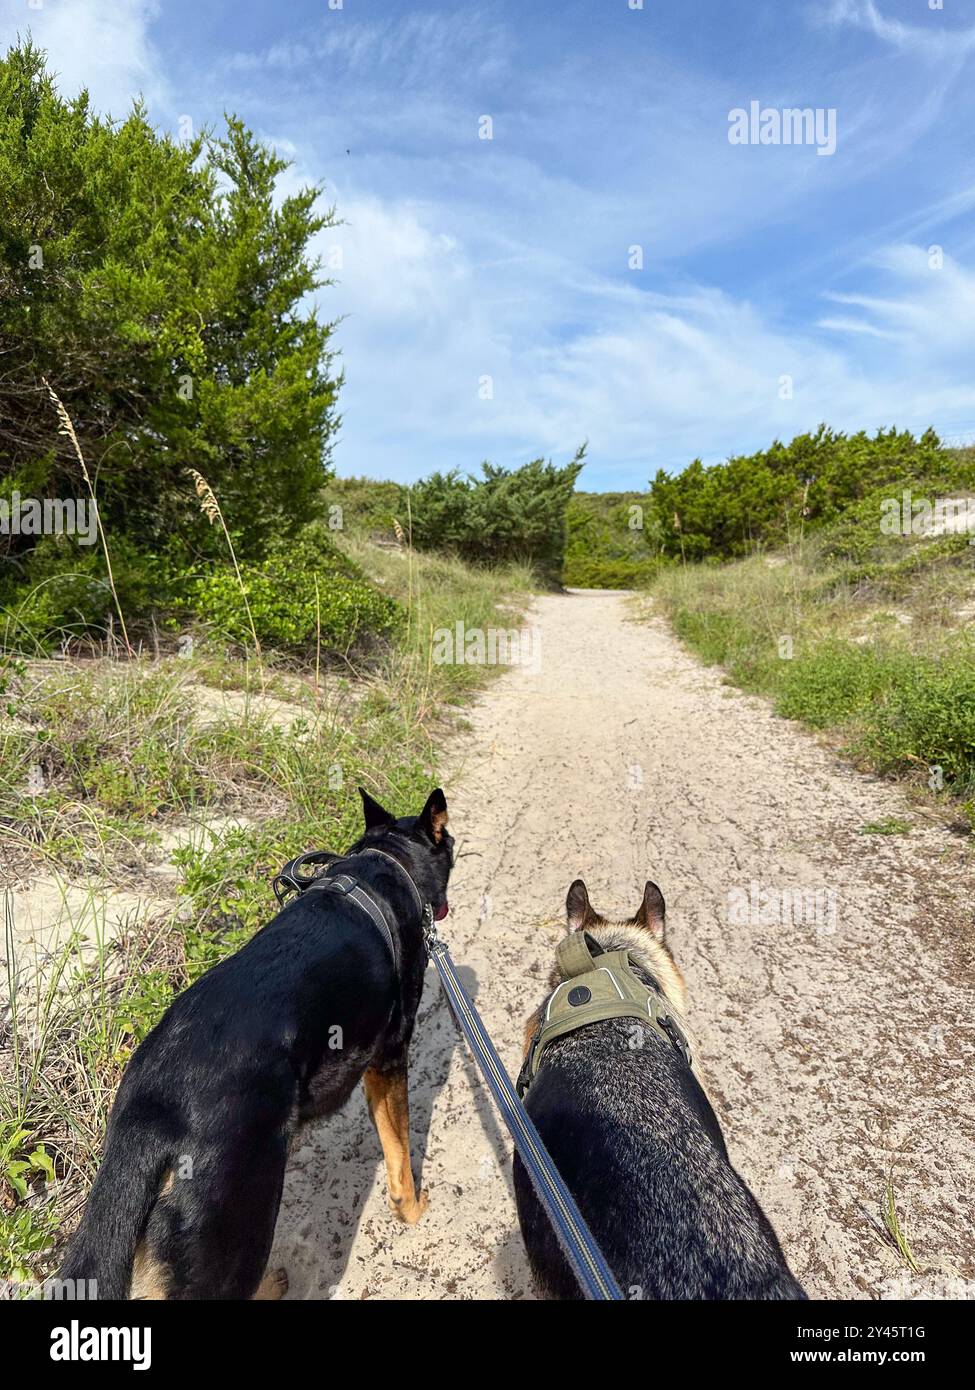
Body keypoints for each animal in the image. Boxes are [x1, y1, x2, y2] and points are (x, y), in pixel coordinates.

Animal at [59, 789, 453, 1295]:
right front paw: (413, 1210)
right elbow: (400, 1154)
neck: (387, 860)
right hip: (237, 1239)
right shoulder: (389, 1059)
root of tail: (150, 1114)